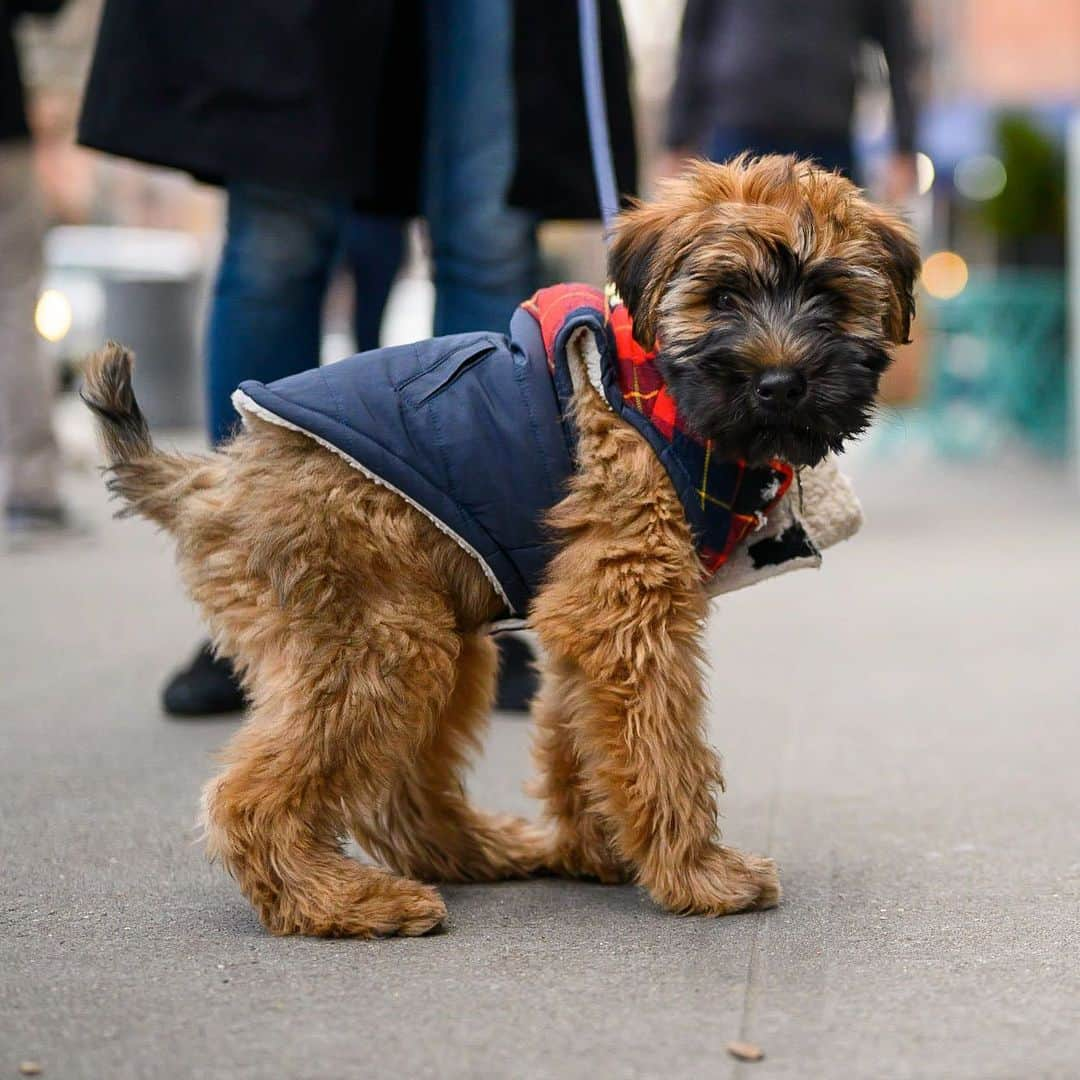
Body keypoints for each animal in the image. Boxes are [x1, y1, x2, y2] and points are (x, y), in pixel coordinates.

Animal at [82, 154, 920, 937]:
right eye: (723, 298)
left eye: (832, 299)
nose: (780, 383)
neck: (664, 393)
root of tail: (213, 480)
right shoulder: (624, 606)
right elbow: (660, 740)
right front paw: (698, 873)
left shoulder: (592, 611)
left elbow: (588, 730)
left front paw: (600, 848)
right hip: (379, 638)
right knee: (252, 797)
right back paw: (335, 899)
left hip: (427, 640)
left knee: (396, 794)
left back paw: (478, 852)